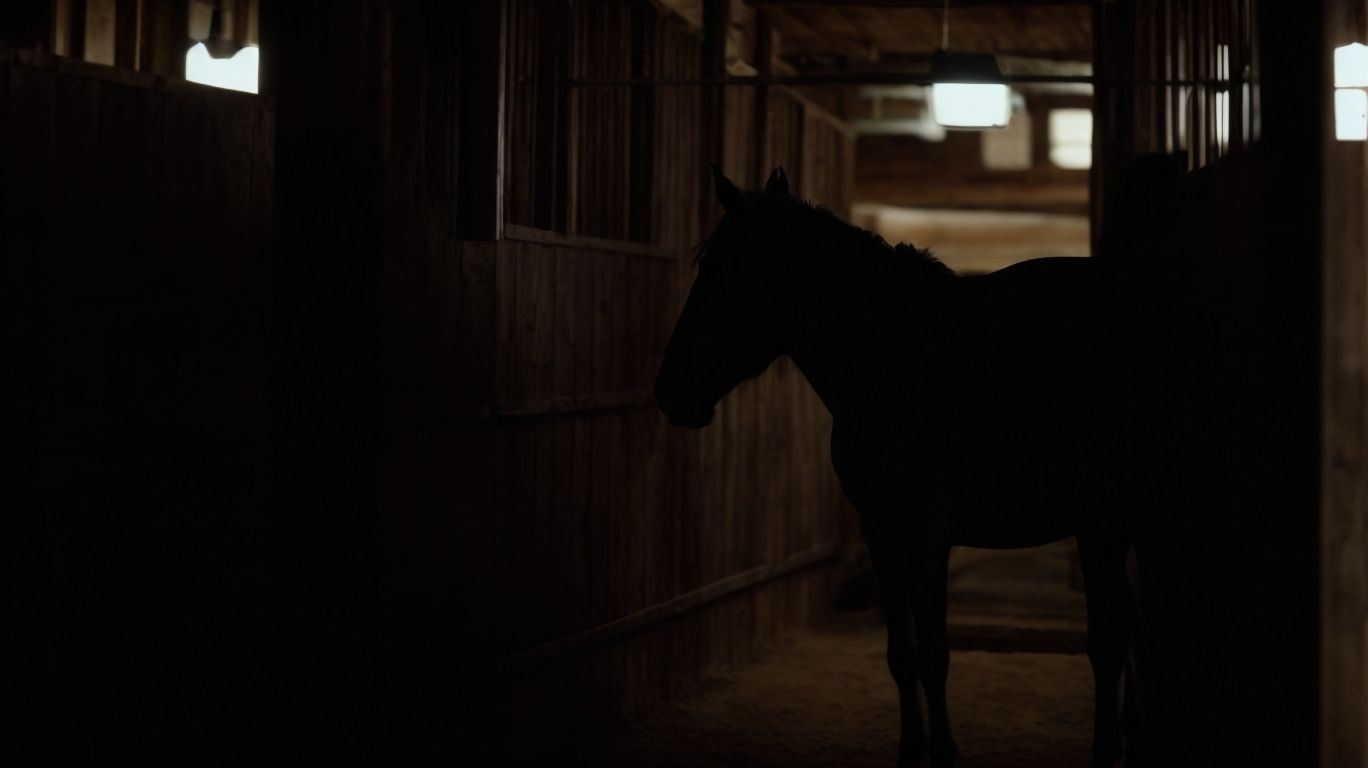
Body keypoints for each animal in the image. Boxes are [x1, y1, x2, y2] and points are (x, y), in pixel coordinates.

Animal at [655, 165, 1146, 768]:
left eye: (715, 269)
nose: (668, 390)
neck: (893, 359)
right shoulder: (881, 531)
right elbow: (902, 652)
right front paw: (912, 750)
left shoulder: (930, 533)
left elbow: (935, 652)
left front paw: (946, 752)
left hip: (1103, 524)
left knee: (1110, 634)